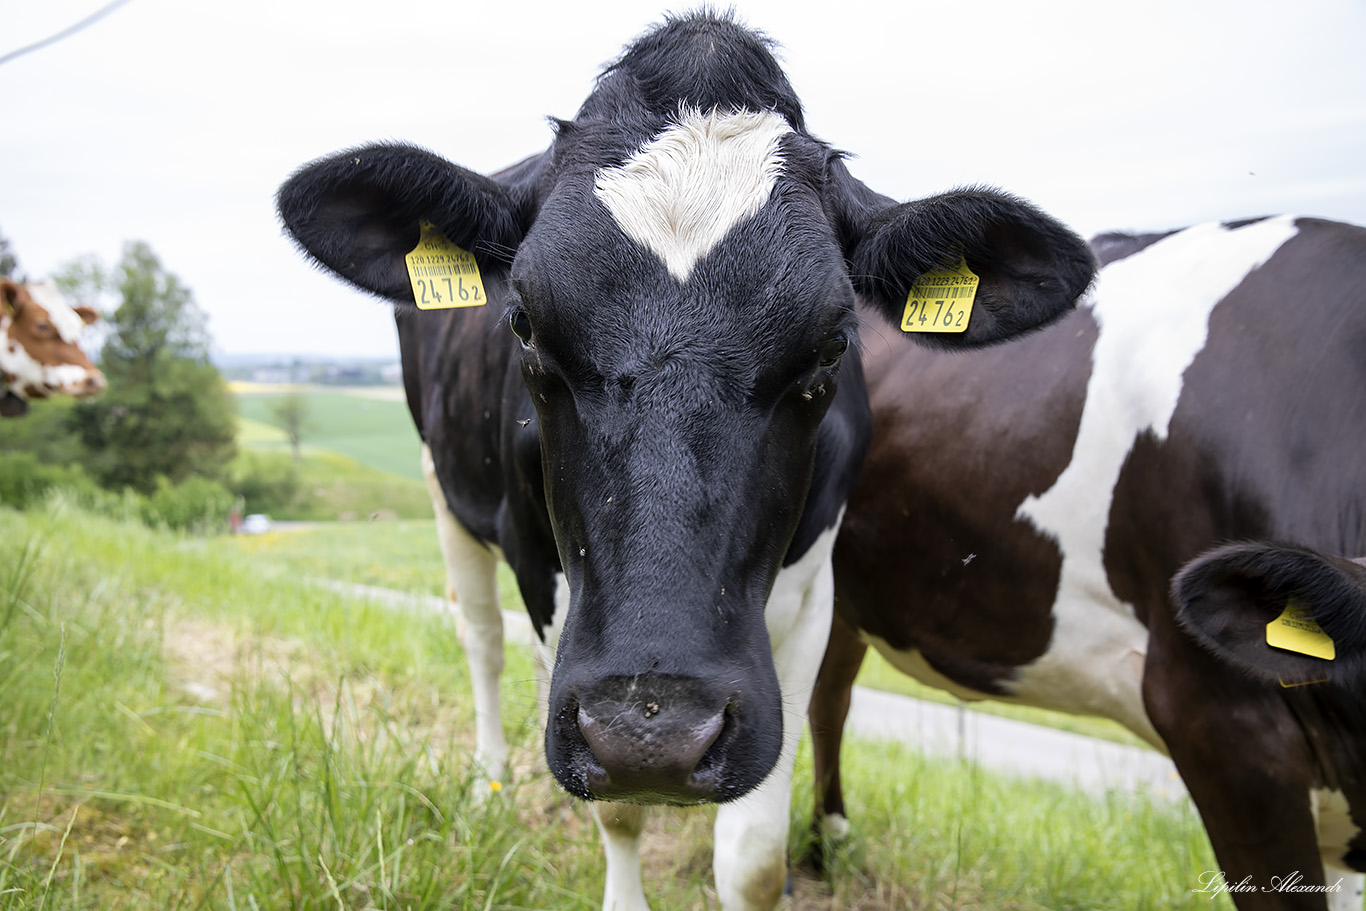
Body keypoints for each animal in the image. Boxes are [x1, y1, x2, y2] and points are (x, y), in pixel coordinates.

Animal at [271, 14, 1092, 911]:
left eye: (834, 340)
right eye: (523, 323)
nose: (653, 735)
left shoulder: (809, 595)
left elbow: (754, 855)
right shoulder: (550, 587)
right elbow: (616, 810)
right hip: (445, 489)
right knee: (480, 635)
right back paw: (490, 780)